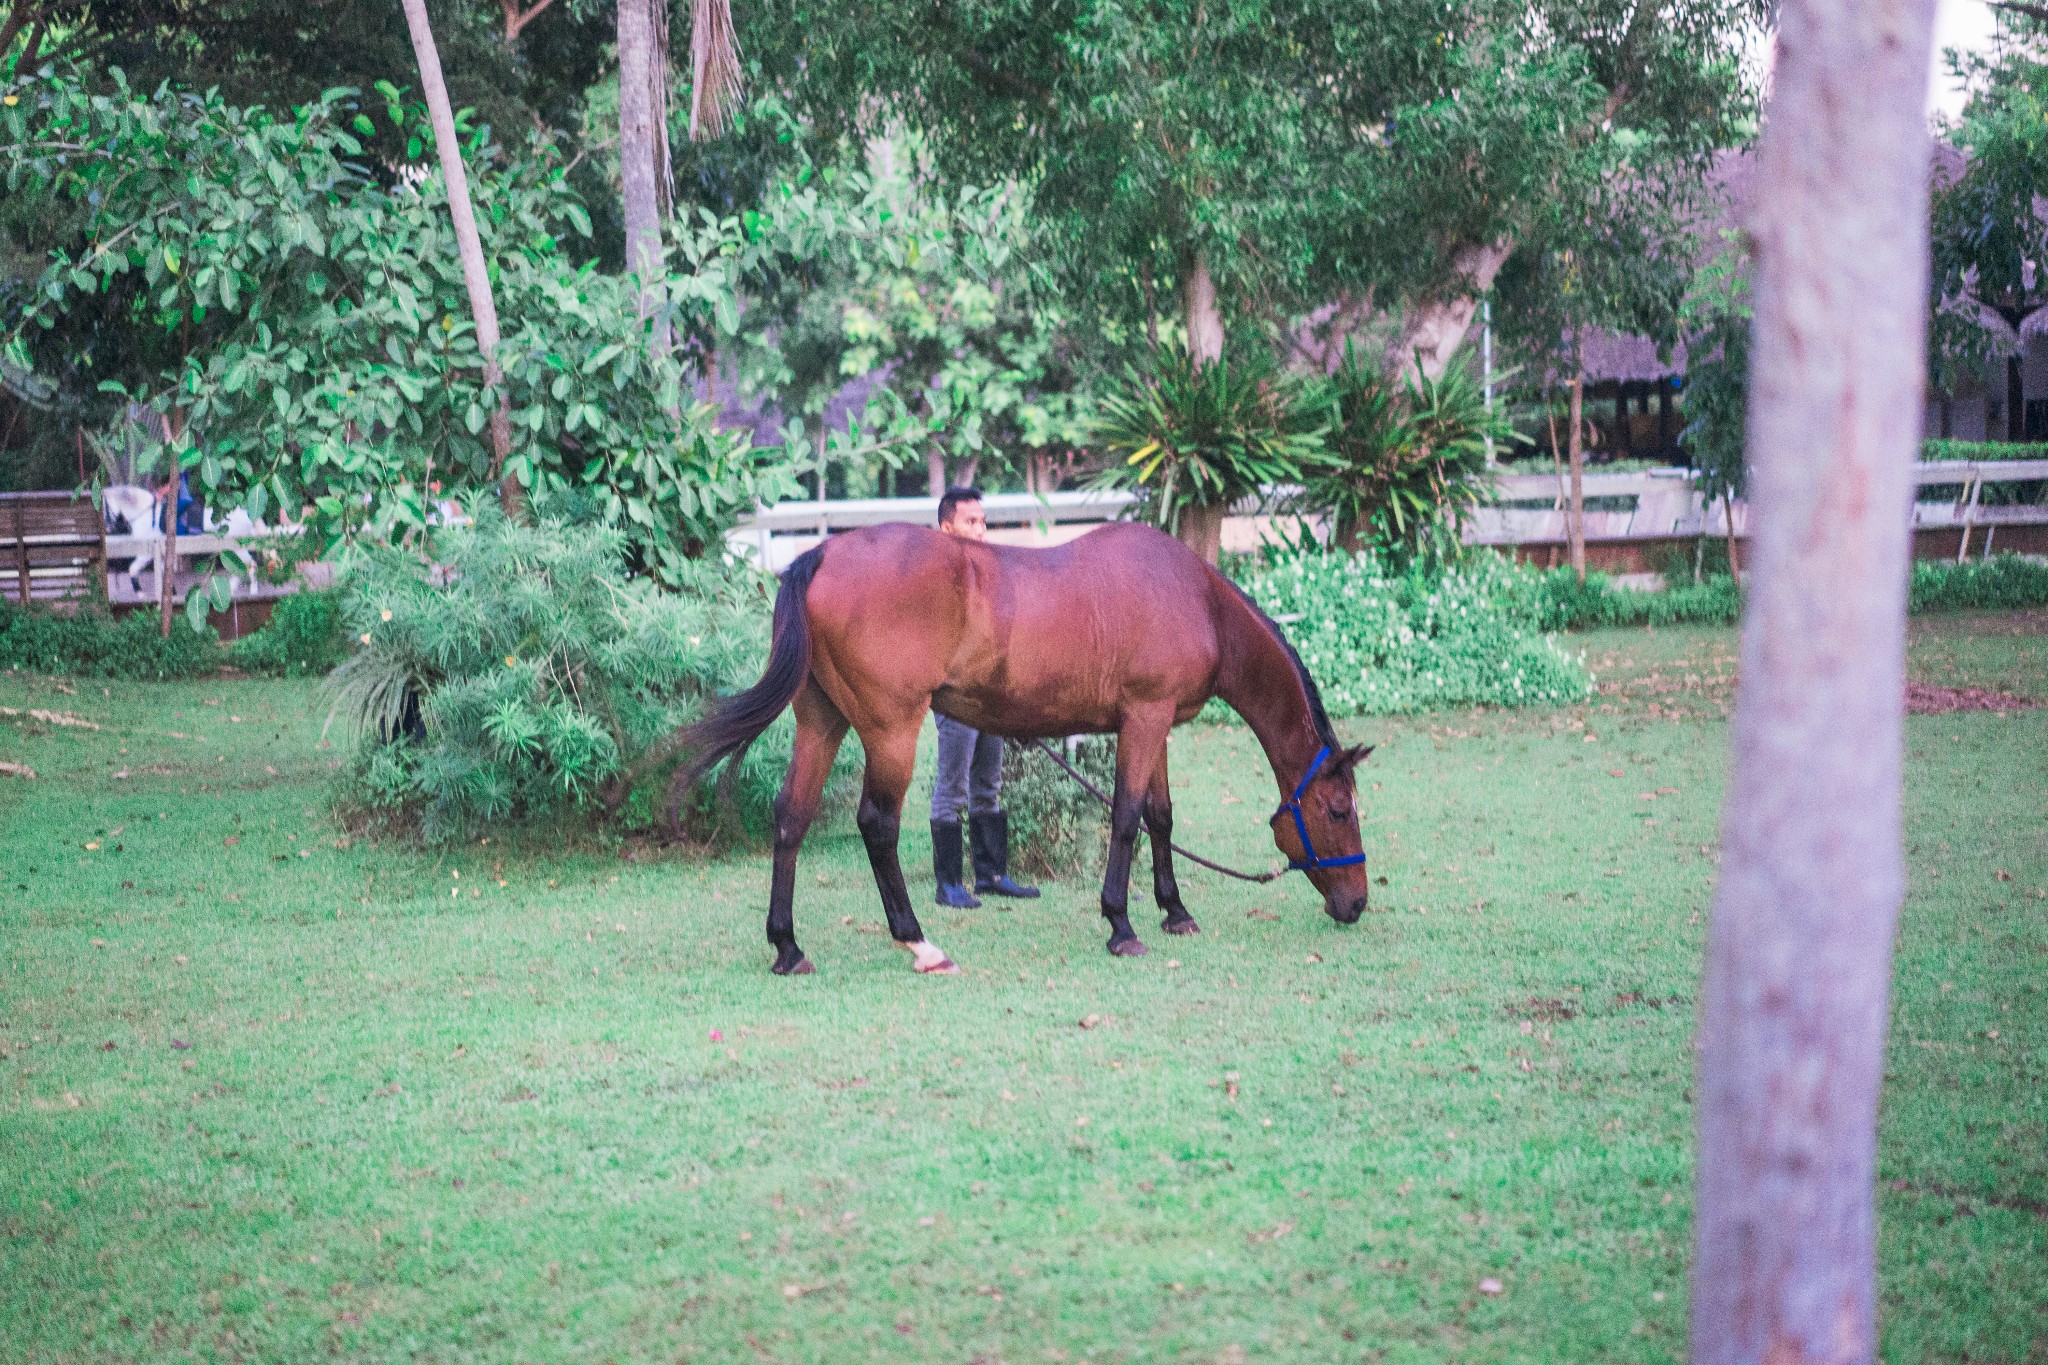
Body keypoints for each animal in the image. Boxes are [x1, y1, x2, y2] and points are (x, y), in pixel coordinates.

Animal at [671, 517, 1376, 978]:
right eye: (1338, 810)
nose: (1357, 905)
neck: (1197, 601)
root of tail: (824, 553)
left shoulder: (1157, 725)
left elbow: (1160, 816)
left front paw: (1175, 911)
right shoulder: (1144, 719)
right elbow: (1126, 819)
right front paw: (1121, 926)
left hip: (822, 720)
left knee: (791, 818)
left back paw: (788, 947)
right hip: (891, 729)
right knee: (878, 824)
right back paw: (919, 943)